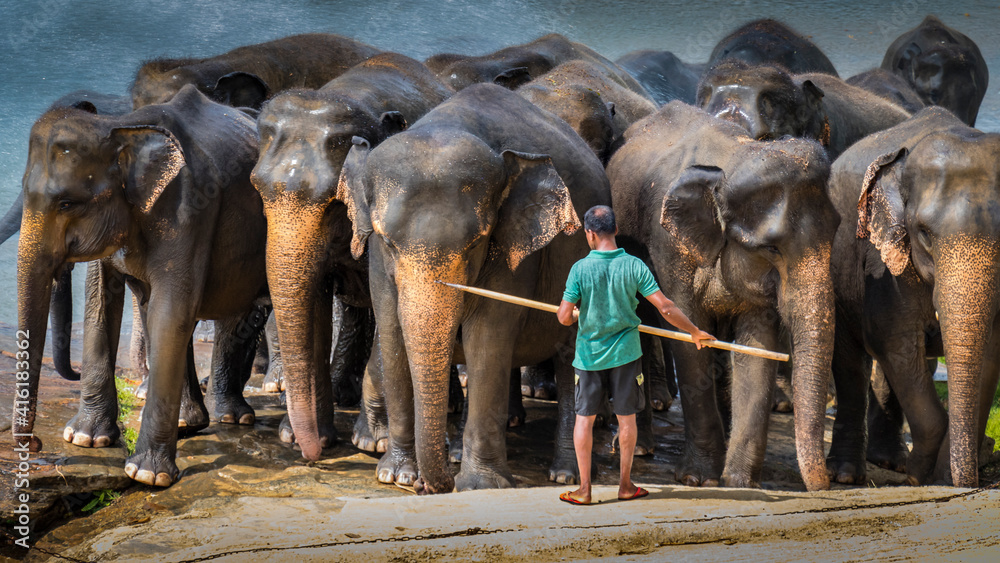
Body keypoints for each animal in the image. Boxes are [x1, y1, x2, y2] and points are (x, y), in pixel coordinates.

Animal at [14, 84, 268, 487]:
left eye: (67, 203)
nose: (35, 444)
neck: (122, 127)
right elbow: (100, 301)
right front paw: (85, 438)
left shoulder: (190, 207)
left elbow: (170, 310)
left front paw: (148, 475)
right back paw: (191, 422)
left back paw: (234, 419)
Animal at [251, 52, 453, 460]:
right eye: (258, 188)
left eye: (334, 202)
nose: (312, 456)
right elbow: (314, 305)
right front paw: (305, 436)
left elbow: (388, 310)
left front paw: (372, 441)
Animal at [337, 83, 611, 493]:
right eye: (388, 242)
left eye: (476, 242)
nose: (430, 487)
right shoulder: (376, 263)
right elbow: (392, 333)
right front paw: (397, 475)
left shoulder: (514, 257)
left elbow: (488, 339)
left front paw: (479, 486)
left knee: (569, 358)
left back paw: (566, 474)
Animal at [606, 101, 837, 491]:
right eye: (772, 248)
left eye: (835, 234)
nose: (825, 485)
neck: (737, 155)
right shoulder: (671, 249)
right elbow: (687, 333)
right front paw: (698, 478)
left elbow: (756, 347)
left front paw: (740, 483)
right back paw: (640, 448)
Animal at [827, 107, 1000, 488]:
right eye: (923, 233)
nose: (970, 482)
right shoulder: (882, 261)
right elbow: (895, 341)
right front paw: (920, 476)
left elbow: (989, 357)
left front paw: (943, 477)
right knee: (850, 364)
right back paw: (847, 474)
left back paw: (890, 461)